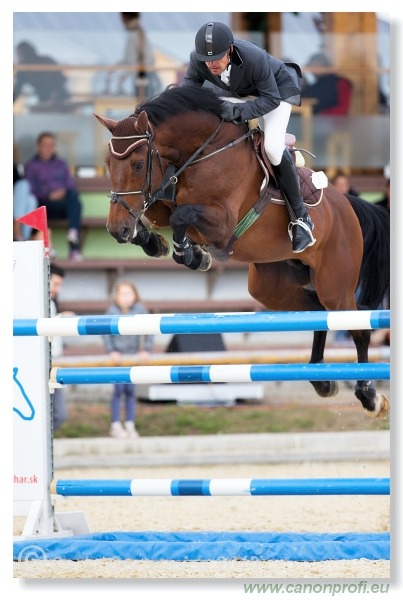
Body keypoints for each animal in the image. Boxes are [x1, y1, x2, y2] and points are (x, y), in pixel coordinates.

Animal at [94, 83, 392, 418]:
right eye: (108, 164)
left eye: (137, 164)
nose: (115, 230)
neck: (201, 153)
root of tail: (347, 205)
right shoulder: (161, 195)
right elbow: (157, 213)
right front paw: (154, 242)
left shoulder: (221, 223)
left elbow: (181, 215)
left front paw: (191, 254)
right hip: (271, 287)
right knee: (316, 313)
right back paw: (321, 380)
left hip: (336, 284)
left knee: (356, 326)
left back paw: (369, 394)